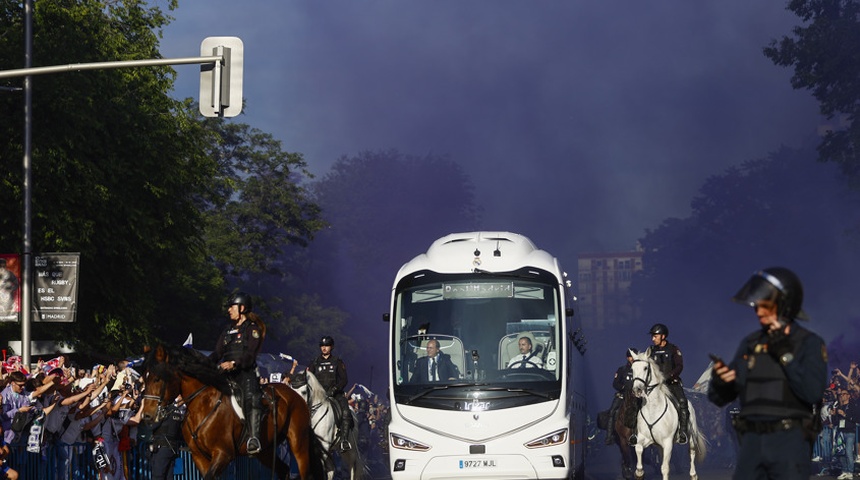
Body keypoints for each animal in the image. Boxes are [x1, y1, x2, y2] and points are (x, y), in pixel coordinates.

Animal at [141, 344, 322, 480]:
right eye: (144, 378)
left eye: (157, 379)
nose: (147, 415)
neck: (202, 406)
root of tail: (294, 394)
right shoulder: (199, 457)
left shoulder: (223, 454)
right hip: (265, 450)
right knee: (283, 470)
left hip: (298, 443)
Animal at [628, 348, 704, 480]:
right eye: (632, 369)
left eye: (645, 368)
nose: (637, 390)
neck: (653, 409)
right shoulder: (643, 439)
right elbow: (638, 450)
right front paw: (639, 472)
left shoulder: (668, 443)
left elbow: (665, 468)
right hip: (659, 446)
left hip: (691, 437)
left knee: (692, 452)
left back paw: (693, 475)